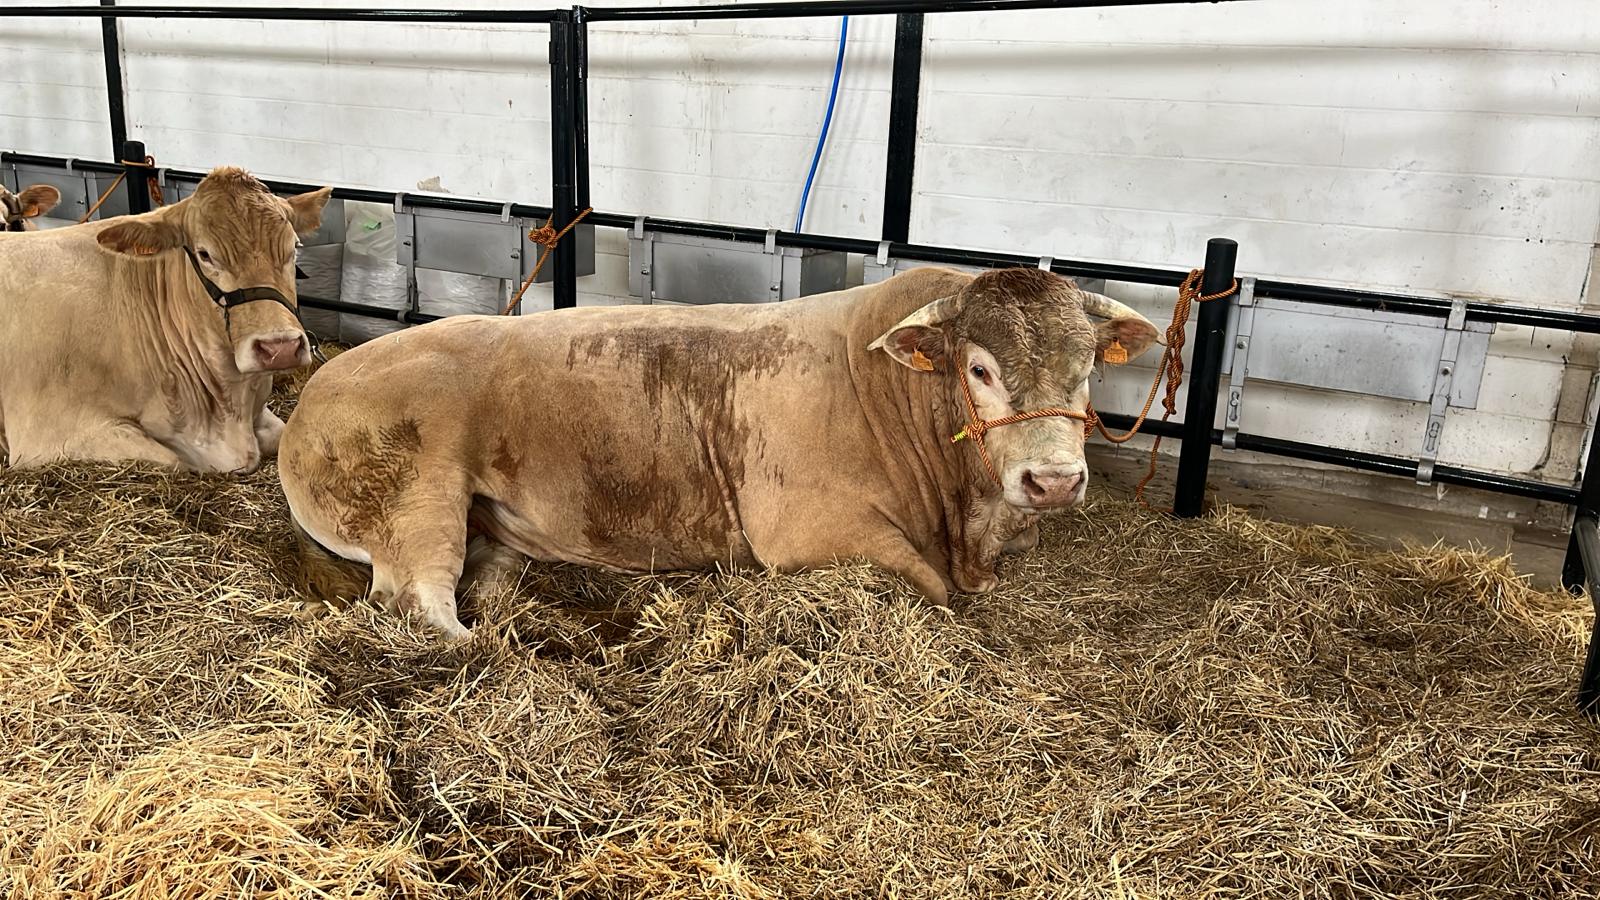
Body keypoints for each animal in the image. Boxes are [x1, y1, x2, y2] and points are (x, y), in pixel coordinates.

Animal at [0, 164, 331, 470]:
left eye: (295, 247)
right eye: (205, 254)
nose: (280, 348)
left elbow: (282, 434)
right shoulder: (52, 435)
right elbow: (175, 460)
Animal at [272, 265, 1152, 637]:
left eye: (1086, 369)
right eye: (980, 369)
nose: (1053, 480)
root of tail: (316, 390)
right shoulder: (810, 533)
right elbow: (933, 592)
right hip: (418, 500)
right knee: (417, 603)